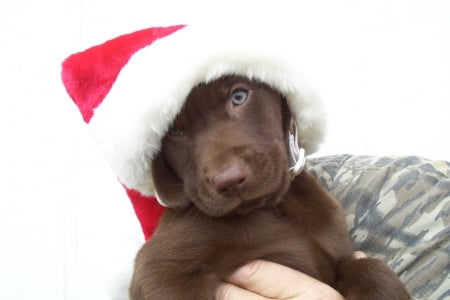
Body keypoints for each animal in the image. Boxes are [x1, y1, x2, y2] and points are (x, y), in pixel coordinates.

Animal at [128, 76, 410, 298]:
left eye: (239, 96)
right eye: (174, 131)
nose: (229, 180)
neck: (272, 208)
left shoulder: (339, 256)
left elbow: (372, 269)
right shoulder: (161, 269)